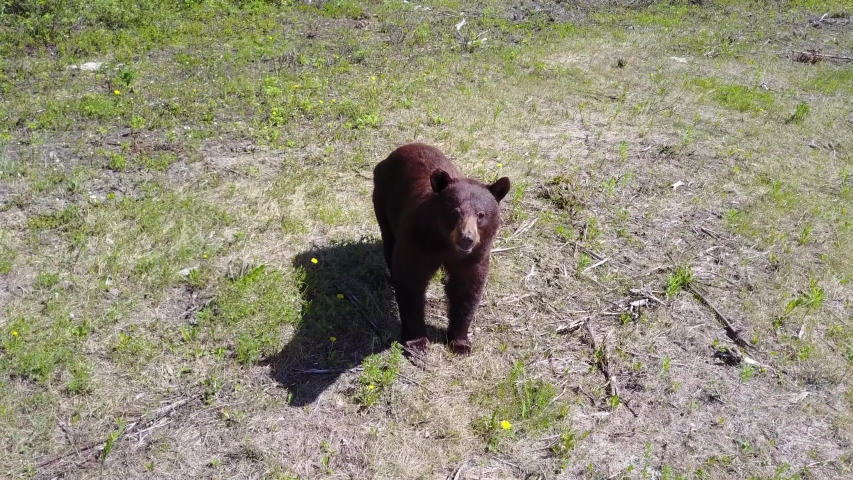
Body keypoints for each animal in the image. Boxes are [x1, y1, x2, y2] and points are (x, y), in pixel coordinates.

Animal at [372, 143, 511, 355]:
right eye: (455, 211)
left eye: (481, 215)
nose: (467, 238)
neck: (445, 244)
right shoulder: (417, 242)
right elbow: (410, 281)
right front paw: (417, 341)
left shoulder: (474, 256)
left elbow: (466, 289)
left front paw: (460, 342)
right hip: (383, 202)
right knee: (389, 244)